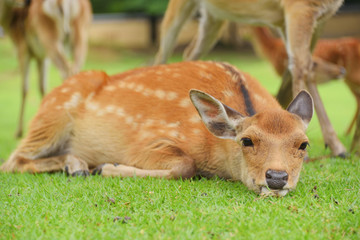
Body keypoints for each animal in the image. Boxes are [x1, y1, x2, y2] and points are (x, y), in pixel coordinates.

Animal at [0, 0, 93, 138]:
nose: (26, 2)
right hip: (80, 33)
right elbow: (42, 87)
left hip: (49, 35)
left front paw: (18, 132)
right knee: (75, 70)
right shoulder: (42, 57)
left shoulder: (23, 48)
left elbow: (24, 89)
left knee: (65, 71)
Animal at [0, 62, 312, 197]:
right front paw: (107, 167)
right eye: (247, 141)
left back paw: (76, 165)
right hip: (50, 118)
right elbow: (186, 165)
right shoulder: (145, 141)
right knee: (13, 160)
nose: (276, 177)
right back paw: (81, 166)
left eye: (303, 145)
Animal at [153, 0, 348, 158]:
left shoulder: (316, 17)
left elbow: (303, 68)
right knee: (162, 53)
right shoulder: (298, 7)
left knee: (189, 52)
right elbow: (301, 67)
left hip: (214, 15)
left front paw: (338, 148)